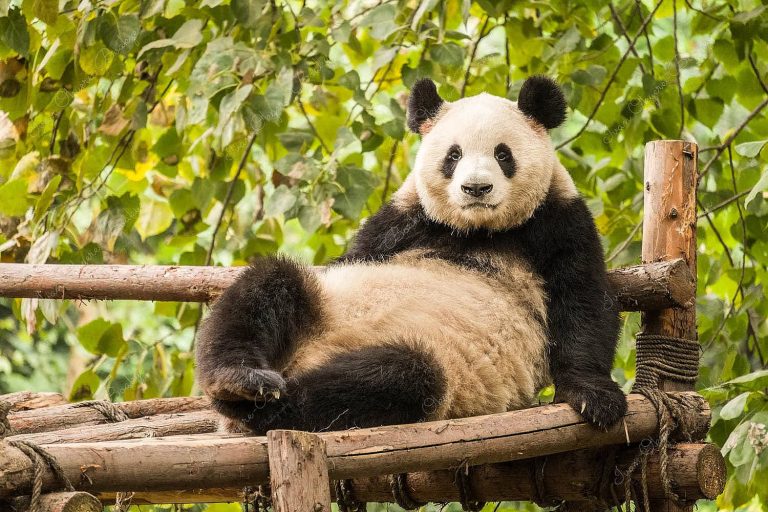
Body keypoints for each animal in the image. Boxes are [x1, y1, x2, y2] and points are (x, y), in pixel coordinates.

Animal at [195, 76, 627, 434]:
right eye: (453, 155)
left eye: (503, 154)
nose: (476, 188)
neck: (477, 230)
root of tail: (301, 361)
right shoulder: (398, 222)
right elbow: (352, 257)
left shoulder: (560, 221)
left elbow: (585, 302)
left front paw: (594, 396)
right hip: (320, 303)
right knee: (269, 288)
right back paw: (240, 382)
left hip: (437, 363)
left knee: (395, 378)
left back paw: (256, 407)